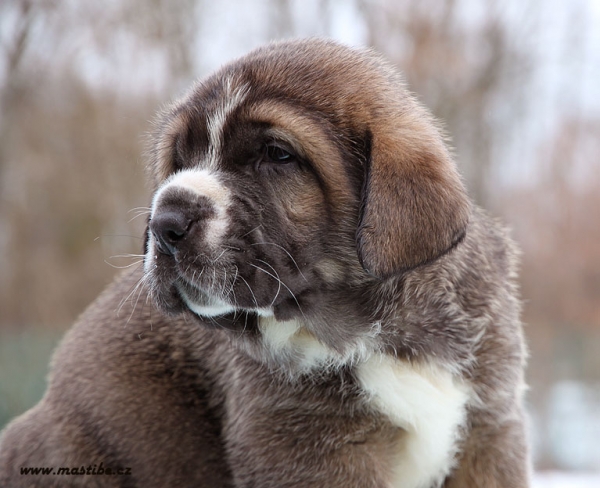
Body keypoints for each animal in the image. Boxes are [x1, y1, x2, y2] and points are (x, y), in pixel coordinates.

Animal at [2, 39, 532, 488]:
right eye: (179, 160)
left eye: (277, 155)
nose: (164, 222)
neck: (380, 332)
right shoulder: (306, 446)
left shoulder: (490, 431)